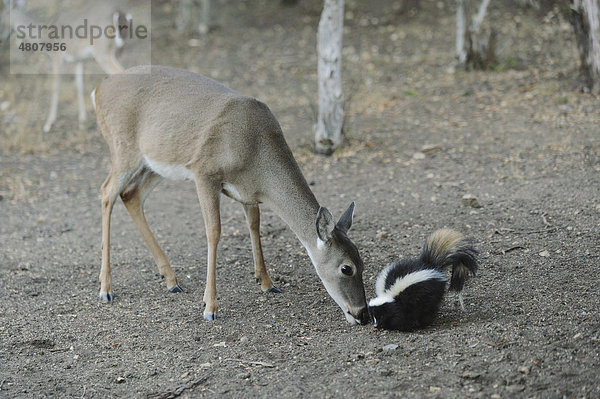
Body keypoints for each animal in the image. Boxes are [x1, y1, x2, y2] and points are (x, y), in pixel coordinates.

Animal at [4, 0, 127, 134]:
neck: (43, 31)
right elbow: (79, 85)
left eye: (1, 14)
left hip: (102, 51)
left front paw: (48, 124)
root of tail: (118, 13)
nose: (2, 37)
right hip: (117, 51)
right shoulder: (78, 60)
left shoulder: (57, 56)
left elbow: (55, 87)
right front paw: (82, 121)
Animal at [92, 65, 370, 326]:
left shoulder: (247, 193)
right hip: (123, 147)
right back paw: (106, 288)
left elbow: (254, 225)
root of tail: (98, 89)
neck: (257, 154)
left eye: (363, 261)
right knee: (107, 191)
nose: (363, 314)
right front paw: (209, 307)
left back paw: (171, 280)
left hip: (156, 163)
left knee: (131, 195)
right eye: (346, 268)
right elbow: (214, 231)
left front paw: (267, 282)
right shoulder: (205, 172)